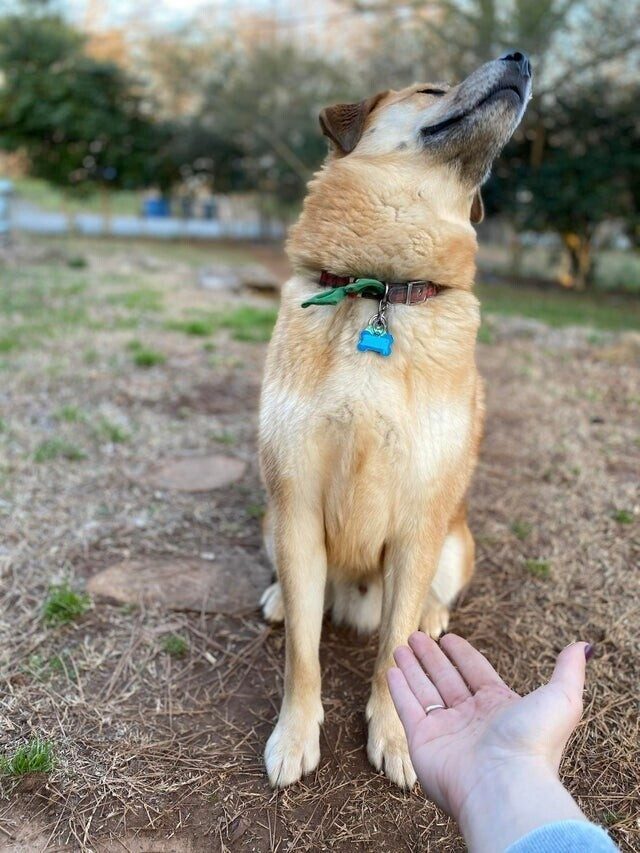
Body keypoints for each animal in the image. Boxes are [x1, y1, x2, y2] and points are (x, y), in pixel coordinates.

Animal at [258, 51, 532, 784]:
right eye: (431, 89)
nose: (521, 58)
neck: (379, 287)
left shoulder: (417, 523)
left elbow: (393, 653)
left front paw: (397, 734)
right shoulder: (296, 503)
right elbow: (302, 652)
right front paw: (295, 731)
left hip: (455, 538)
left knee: (425, 603)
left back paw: (433, 614)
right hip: (272, 520)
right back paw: (279, 596)